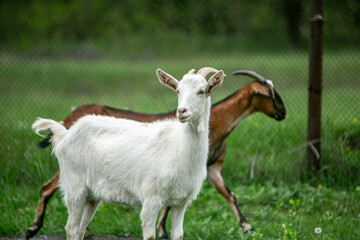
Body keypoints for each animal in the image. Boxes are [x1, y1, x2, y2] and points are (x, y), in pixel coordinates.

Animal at [25, 69, 286, 238]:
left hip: (92, 195)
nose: (181, 111)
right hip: (75, 187)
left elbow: (179, 234)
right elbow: (151, 234)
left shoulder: (182, 201)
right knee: (69, 227)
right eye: (177, 89)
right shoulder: (150, 199)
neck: (179, 147)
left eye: (202, 91)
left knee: (79, 229)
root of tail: (65, 132)